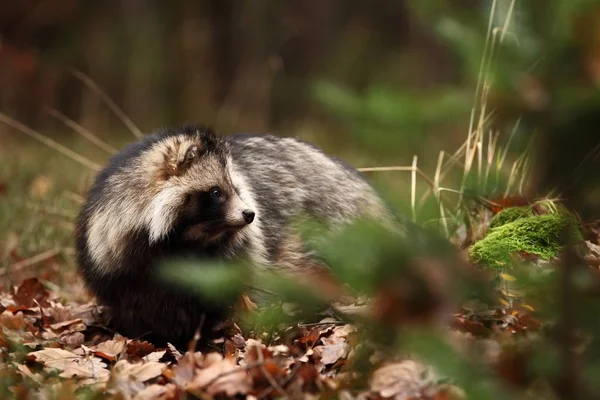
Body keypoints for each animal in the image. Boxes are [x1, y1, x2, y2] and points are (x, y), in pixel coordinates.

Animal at [75, 125, 394, 346]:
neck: (184, 243)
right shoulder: (119, 261)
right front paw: (159, 334)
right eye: (216, 192)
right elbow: (140, 304)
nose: (250, 214)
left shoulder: (233, 256)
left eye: (236, 188)